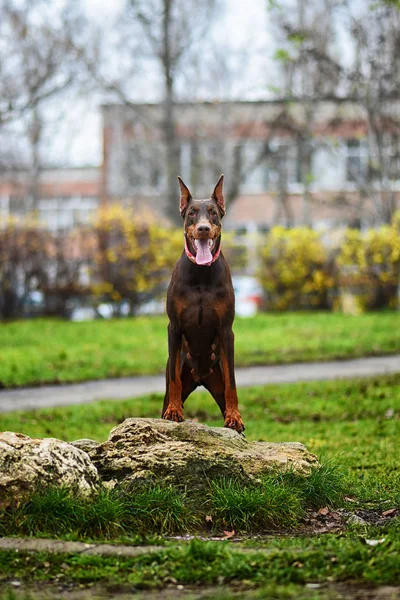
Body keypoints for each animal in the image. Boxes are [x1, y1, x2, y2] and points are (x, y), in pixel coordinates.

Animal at [162, 173, 244, 432]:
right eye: (192, 213)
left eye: (213, 213)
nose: (204, 228)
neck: (201, 274)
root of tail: (200, 378)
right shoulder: (174, 327)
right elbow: (174, 380)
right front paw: (175, 411)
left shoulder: (226, 330)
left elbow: (232, 381)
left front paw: (234, 416)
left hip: (216, 378)